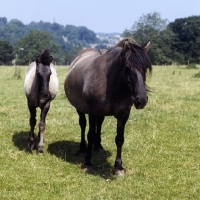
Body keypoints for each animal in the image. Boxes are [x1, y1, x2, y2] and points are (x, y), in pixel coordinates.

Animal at [64, 38, 152, 176]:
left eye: (146, 68)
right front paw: (87, 163)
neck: (111, 84)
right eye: (127, 68)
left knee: (99, 124)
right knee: (83, 125)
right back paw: (82, 149)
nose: (141, 100)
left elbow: (119, 138)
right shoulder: (93, 111)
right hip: (80, 109)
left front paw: (119, 167)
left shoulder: (124, 114)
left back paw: (98, 146)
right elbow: (90, 134)